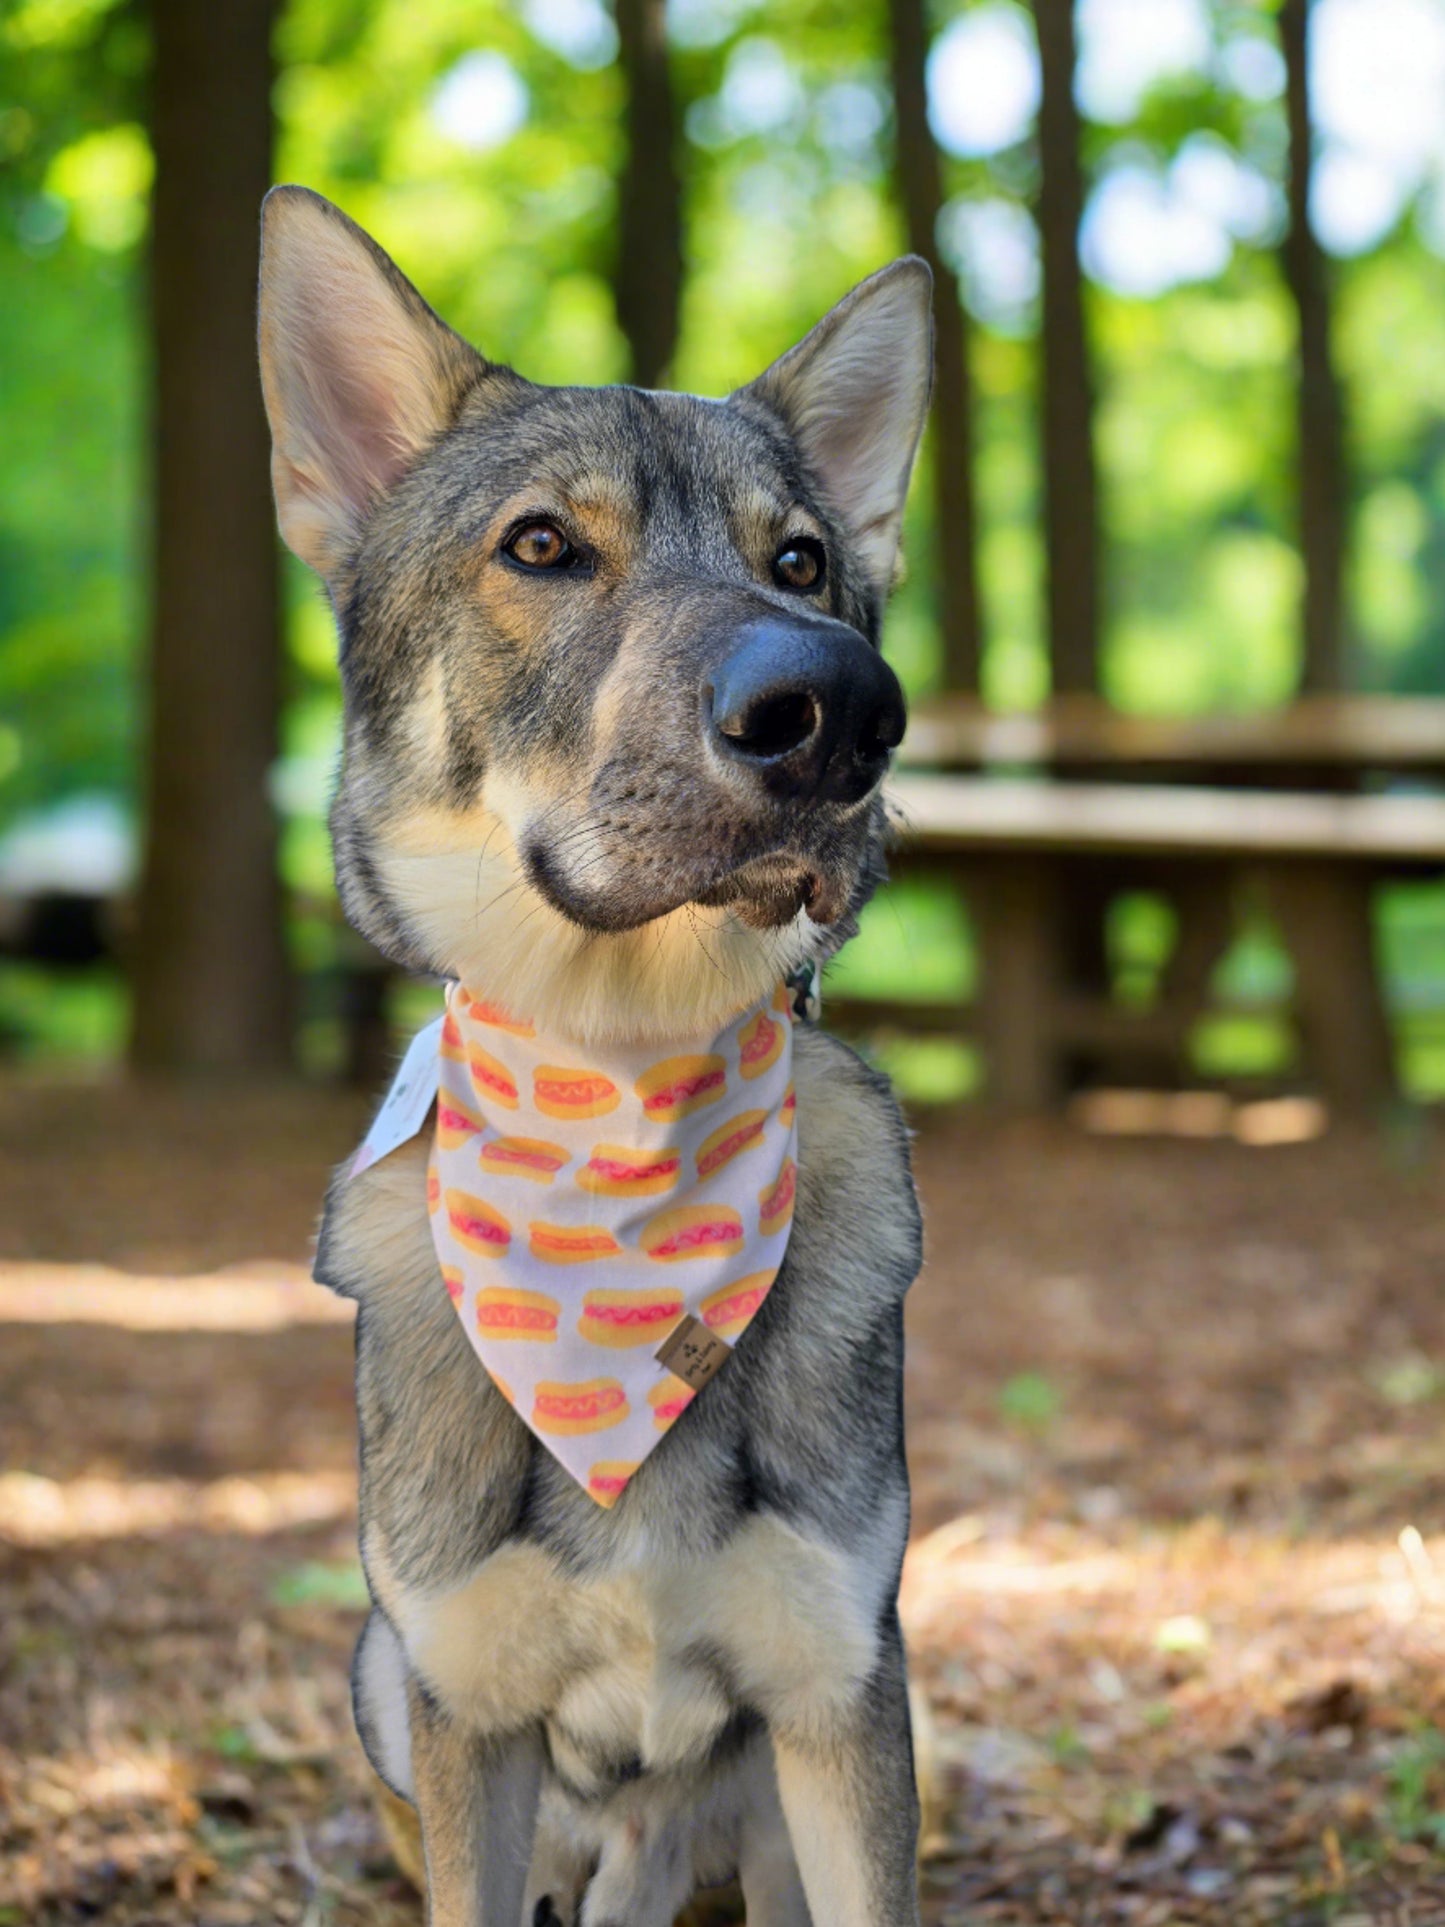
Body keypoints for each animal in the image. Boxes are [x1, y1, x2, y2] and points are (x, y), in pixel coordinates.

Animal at [258, 184, 932, 1927]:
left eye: (801, 560)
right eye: (543, 546)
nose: (840, 706)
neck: (616, 1104)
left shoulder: (843, 1691)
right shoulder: (468, 1713)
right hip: (382, 1676)